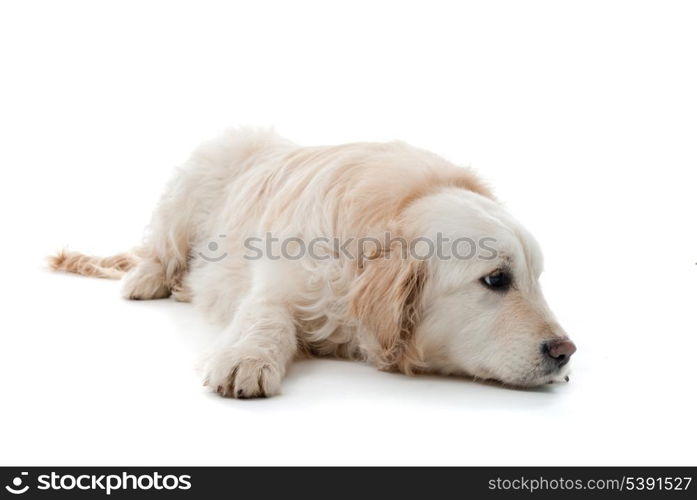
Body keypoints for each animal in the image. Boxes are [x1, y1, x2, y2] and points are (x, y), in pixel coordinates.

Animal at [50, 129, 576, 398]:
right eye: (496, 279)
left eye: (536, 279)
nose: (565, 352)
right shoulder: (279, 280)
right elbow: (266, 317)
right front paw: (246, 358)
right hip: (191, 184)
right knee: (161, 245)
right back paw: (148, 279)